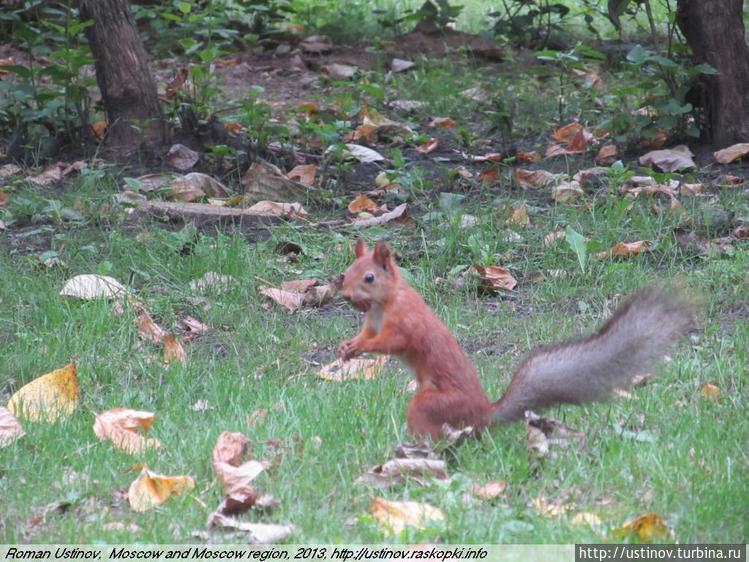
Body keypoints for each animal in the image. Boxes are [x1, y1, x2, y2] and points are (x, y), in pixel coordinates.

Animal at [338, 236, 696, 438]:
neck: (384, 303)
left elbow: (391, 342)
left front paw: (363, 346)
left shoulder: (406, 323)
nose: (344, 295)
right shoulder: (372, 321)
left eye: (369, 277)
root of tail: (484, 414)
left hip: (436, 404)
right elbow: (367, 333)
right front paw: (348, 347)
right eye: (346, 272)